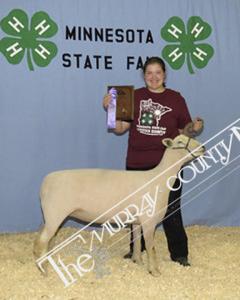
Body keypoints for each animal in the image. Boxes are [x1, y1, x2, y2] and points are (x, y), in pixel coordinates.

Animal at [33, 134, 204, 276]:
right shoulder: (149, 221)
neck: (159, 178)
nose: (203, 147)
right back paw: (44, 271)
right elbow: (151, 247)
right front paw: (154, 271)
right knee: (41, 241)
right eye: (180, 142)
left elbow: (137, 242)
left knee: (45, 239)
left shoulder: (137, 221)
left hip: (50, 216)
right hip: (55, 214)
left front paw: (138, 262)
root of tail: (45, 182)